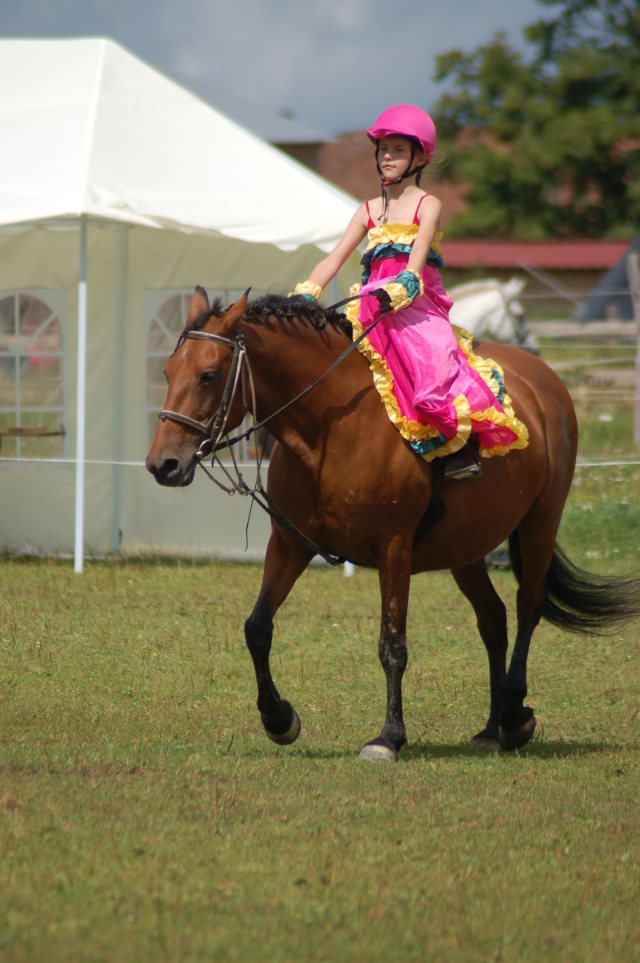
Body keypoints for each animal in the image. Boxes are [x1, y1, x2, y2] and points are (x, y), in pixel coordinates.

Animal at [146, 286, 640, 760]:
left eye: (209, 375)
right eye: (168, 372)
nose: (162, 464)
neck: (328, 430)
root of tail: (546, 379)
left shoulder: (394, 548)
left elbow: (392, 645)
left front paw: (388, 737)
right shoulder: (289, 544)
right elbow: (257, 627)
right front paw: (279, 719)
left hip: (541, 522)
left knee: (527, 607)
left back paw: (515, 715)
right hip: (466, 548)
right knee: (494, 620)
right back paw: (490, 729)